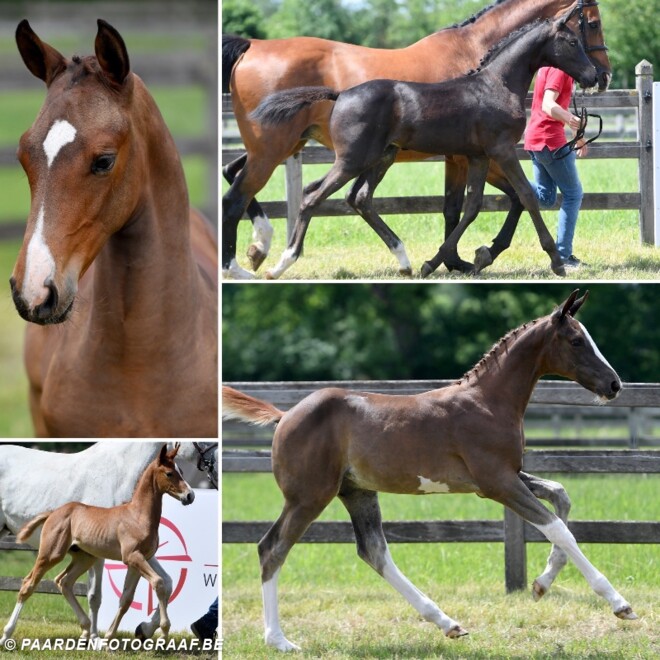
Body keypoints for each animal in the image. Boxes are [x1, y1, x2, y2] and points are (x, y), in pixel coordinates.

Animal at [0, 441, 215, 641]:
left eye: (181, 471)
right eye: (170, 473)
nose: (190, 495)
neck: (136, 514)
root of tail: (54, 512)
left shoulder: (140, 559)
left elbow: (137, 594)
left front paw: (131, 632)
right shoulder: (131, 557)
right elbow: (148, 585)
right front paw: (161, 631)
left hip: (83, 558)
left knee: (64, 582)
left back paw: (85, 628)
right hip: (52, 553)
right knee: (28, 584)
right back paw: (7, 634)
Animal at [222, 0, 610, 279]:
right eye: (581, 32)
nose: (598, 75)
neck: (494, 84)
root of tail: (339, 94)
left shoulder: (477, 156)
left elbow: (471, 206)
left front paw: (456, 259)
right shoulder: (498, 151)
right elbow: (524, 196)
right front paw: (554, 260)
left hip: (364, 156)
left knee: (351, 197)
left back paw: (403, 260)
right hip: (330, 157)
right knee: (290, 197)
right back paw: (270, 263)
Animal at [222, 290, 637, 652]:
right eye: (576, 341)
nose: (614, 384)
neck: (488, 401)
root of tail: (285, 415)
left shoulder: (508, 476)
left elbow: (561, 496)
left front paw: (540, 584)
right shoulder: (496, 483)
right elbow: (558, 528)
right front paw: (620, 604)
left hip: (356, 491)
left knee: (373, 551)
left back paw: (447, 623)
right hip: (308, 497)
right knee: (272, 549)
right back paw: (278, 640)